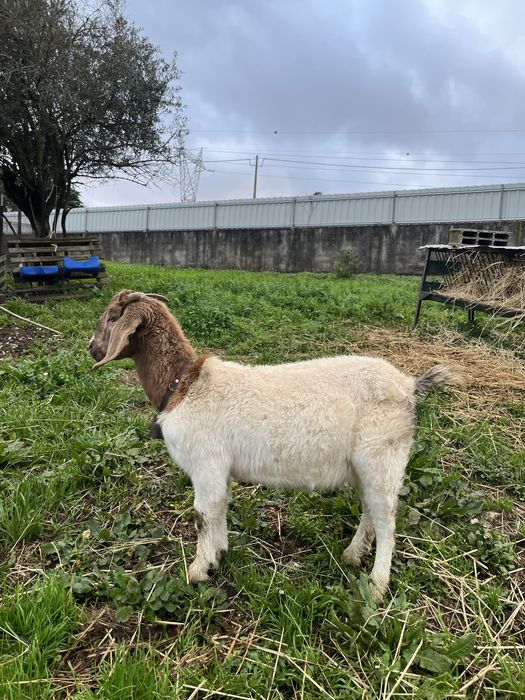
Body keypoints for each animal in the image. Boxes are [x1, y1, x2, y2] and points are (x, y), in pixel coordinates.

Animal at [89, 289, 464, 600]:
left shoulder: (206, 463)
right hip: (367, 466)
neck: (183, 385)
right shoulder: (220, 471)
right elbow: (219, 510)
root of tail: (409, 386)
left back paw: (375, 586)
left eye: (111, 316)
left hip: (383, 455)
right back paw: (352, 555)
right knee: (372, 511)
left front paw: (198, 570)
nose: (91, 346)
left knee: (387, 520)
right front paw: (219, 554)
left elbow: (204, 514)